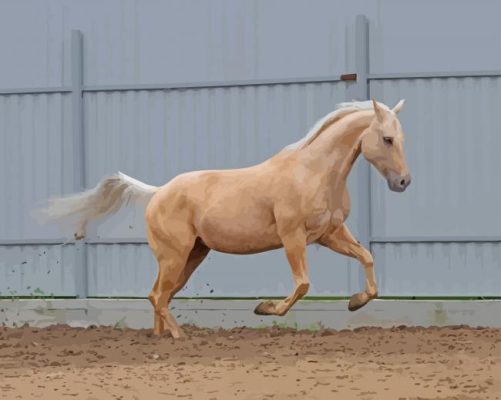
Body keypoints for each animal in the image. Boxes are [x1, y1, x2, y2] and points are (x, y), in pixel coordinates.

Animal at [38, 98, 410, 336]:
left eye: (401, 138)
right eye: (387, 138)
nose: (403, 182)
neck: (313, 172)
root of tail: (157, 192)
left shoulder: (329, 233)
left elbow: (366, 256)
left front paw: (356, 302)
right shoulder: (293, 238)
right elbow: (303, 284)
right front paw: (265, 309)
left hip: (191, 255)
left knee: (158, 295)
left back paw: (161, 338)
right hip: (175, 256)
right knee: (159, 296)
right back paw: (180, 337)